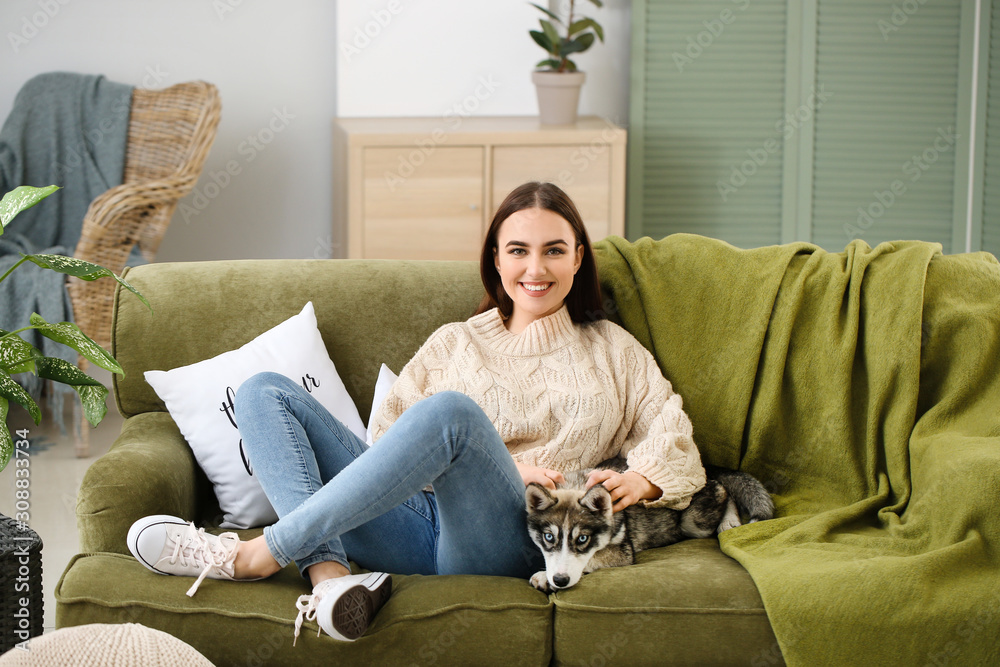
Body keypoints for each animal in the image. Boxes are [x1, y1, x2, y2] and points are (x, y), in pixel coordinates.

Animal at [524, 462, 772, 592]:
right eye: (548, 537)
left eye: (582, 539)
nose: (560, 580)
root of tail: (705, 468)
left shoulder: (622, 552)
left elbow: (593, 558)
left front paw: (545, 577)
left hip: (694, 521)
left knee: (723, 489)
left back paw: (729, 519)